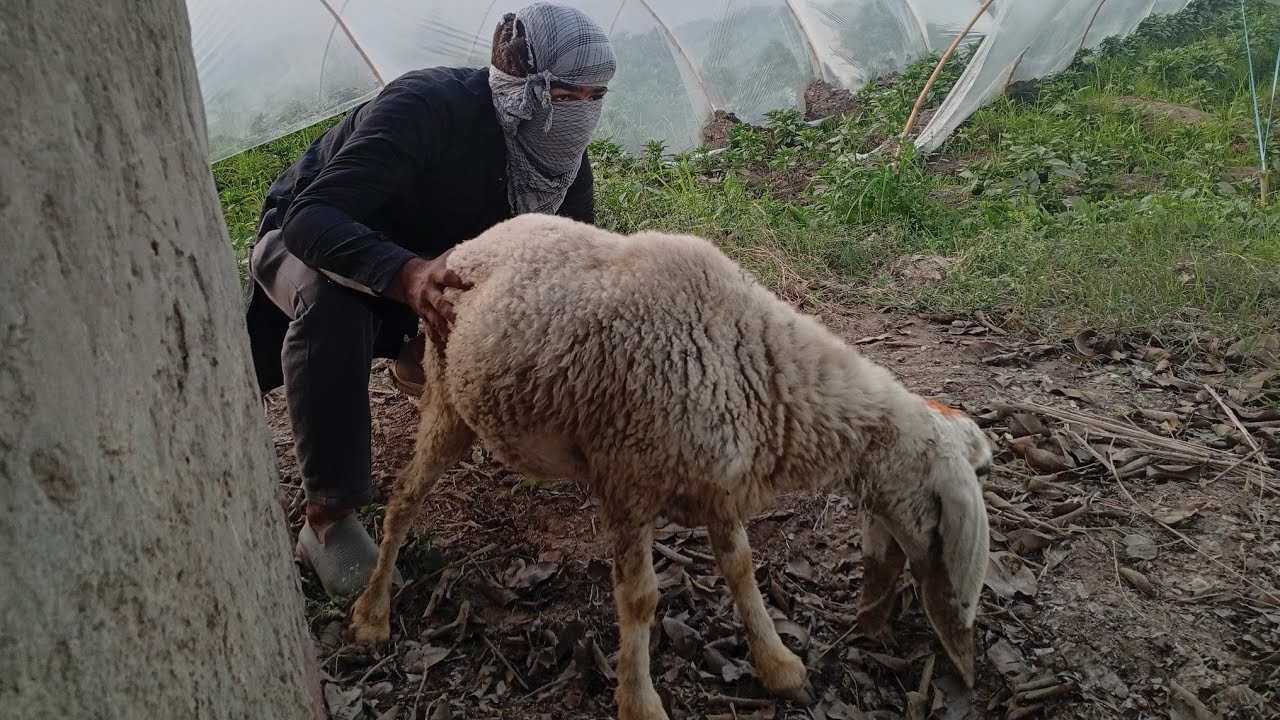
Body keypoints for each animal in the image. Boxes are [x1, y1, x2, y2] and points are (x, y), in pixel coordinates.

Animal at [346, 213, 993, 720]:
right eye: (938, 513)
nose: (961, 661)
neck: (754, 365)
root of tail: (469, 244)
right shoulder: (627, 481)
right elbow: (639, 597)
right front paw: (640, 701)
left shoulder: (717, 485)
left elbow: (741, 569)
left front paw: (778, 664)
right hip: (448, 398)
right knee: (404, 497)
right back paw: (372, 615)